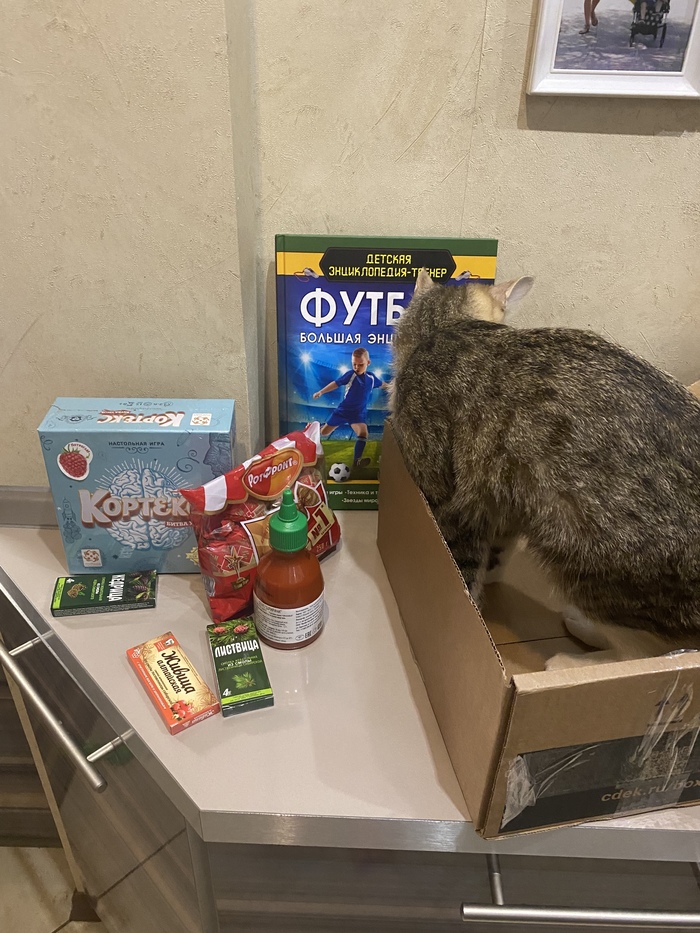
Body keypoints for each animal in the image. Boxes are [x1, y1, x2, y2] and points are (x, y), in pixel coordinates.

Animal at [390, 270, 700, 657]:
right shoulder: (504, 501)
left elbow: (463, 573)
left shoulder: (449, 502)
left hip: (595, 574)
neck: (443, 330)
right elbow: (496, 550)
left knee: (643, 655)